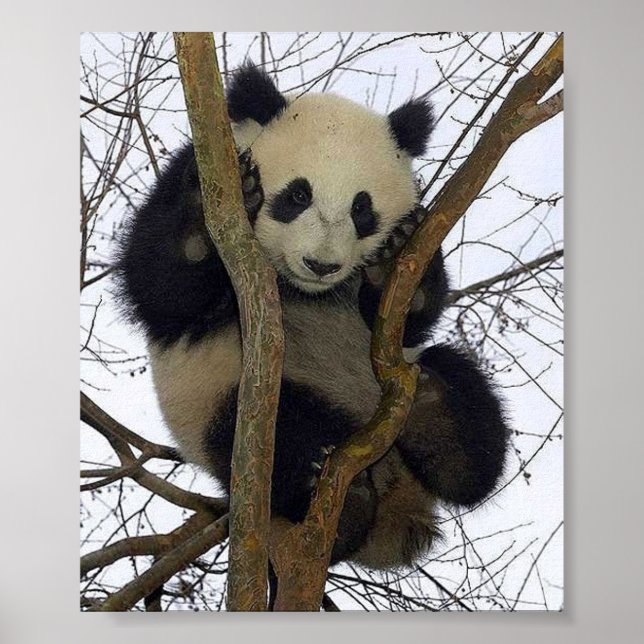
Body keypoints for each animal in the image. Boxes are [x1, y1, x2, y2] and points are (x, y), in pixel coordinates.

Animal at [115, 62, 509, 571]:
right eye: (297, 196)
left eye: (362, 208)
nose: (321, 264)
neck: (303, 290)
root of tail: (396, 506)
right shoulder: (193, 170)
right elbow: (161, 291)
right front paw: (207, 213)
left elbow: (411, 318)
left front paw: (393, 260)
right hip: (220, 399)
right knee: (271, 436)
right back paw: (336, 501)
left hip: (402, 379)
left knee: (460, 388)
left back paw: (439, 424)